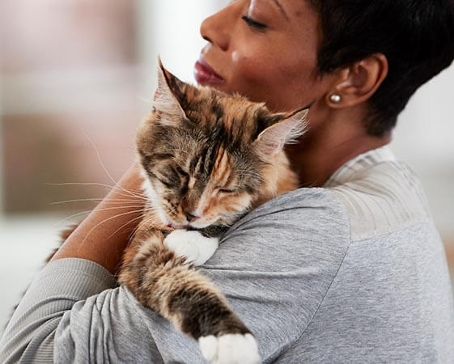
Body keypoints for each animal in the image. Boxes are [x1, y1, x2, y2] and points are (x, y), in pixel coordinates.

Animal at [117, 60, 308, 364]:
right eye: (181, 172)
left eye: (225, 190)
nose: (191, 215)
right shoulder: (140, 249)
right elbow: (176, 283)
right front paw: (230, 338)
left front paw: (191, 239)